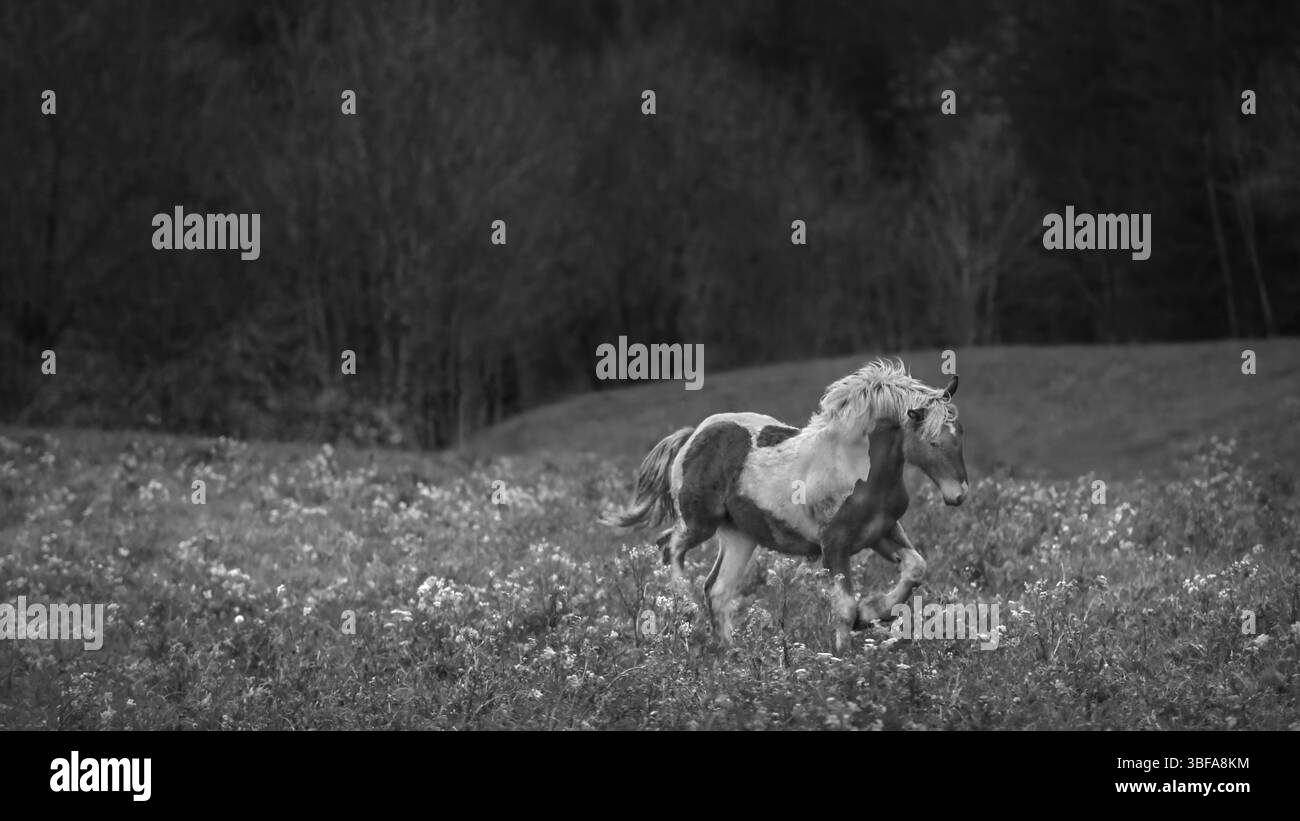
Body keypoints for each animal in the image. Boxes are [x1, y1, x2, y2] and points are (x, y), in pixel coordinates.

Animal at [603, 358, 968, 651]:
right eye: (931, 441)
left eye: (959, 433)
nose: (959, 494)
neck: (853, 465)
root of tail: (694, 434)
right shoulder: (834, 544)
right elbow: (844, 607)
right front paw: (845, 657)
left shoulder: (881, 532)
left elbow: (915, 567)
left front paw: (871, 613)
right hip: (699, 522)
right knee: (670, 547)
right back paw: (688, 606)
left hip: (740, 536)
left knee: (717, 590)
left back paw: (733, 655)